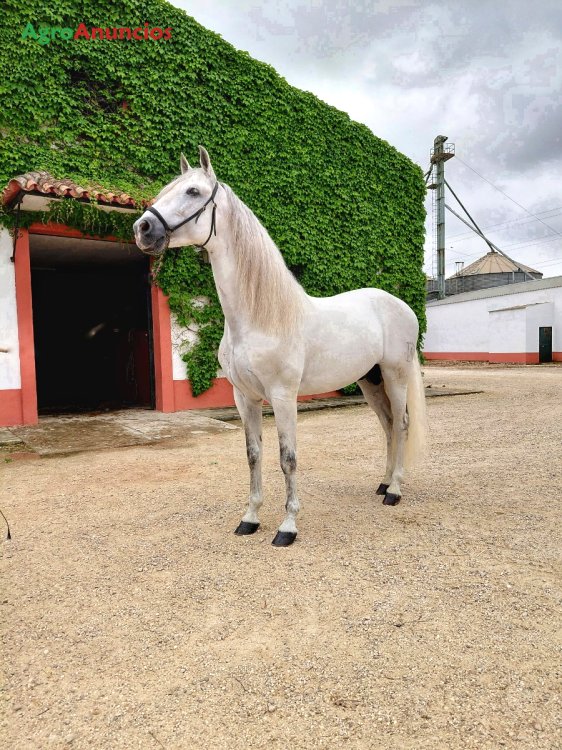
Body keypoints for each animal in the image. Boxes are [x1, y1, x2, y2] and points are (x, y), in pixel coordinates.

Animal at [134, 147, 426, 547]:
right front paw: (250, 518)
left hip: (395, 375)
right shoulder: (245, 397)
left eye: (193, 192)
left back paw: (395, 491)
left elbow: (288, 458)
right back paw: (382, 484)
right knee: (387, 425)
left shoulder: (284, 396)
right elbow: (253, 454)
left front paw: (287, 526)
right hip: (370, 380)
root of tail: (400, 305)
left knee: (402, 424)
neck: (259, 318)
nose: (142, 229)